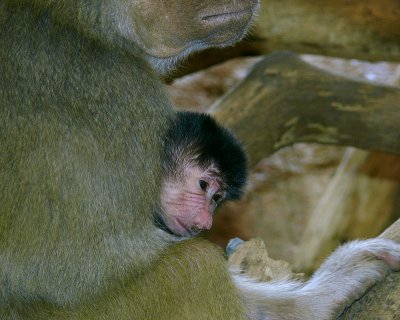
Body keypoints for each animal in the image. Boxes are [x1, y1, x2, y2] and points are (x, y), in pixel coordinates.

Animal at [0, 0, 400, 320]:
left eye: (217, 198)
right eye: (203, 185)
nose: (206, 221)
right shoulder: (123, 92)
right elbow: (73, 274)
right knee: (194, 267)